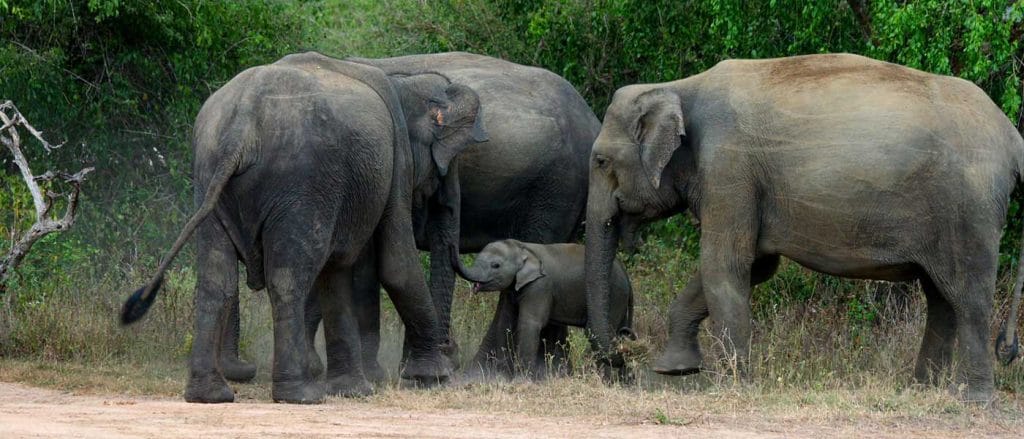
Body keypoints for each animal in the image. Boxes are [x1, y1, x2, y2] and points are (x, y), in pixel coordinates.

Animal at [120, 51, 487, 403]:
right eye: (448, 162)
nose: (449, 354)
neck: (405, 82)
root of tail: (242, 125)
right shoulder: (396, 163)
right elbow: (395, 265)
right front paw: (433, 377)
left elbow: (339, 270)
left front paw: (354, 389)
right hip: (301, 181)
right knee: (288, 279)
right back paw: (299, 394)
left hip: (210, 175)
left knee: (216, 279)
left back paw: (210, 395)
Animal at [452, 239, 634, 379]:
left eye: (495, 265)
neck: (522, 247)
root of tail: (627, 276)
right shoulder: (512, 290)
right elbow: (505, 321)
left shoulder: (540, 286)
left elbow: (530, 323)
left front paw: (522, 381)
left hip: (615, 295)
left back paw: (605, 380)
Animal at [583, 53, 1024, 402]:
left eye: (601, 161)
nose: (623, 353)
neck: (679, 87)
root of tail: (1013, 136)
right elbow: (756, 266)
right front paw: (675, 369)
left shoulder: (729, 168)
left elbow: (725, 264)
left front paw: (732, 386)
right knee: (941, 299)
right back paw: (920, 390)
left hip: (969, 210)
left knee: (968, 298)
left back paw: (973, 401)